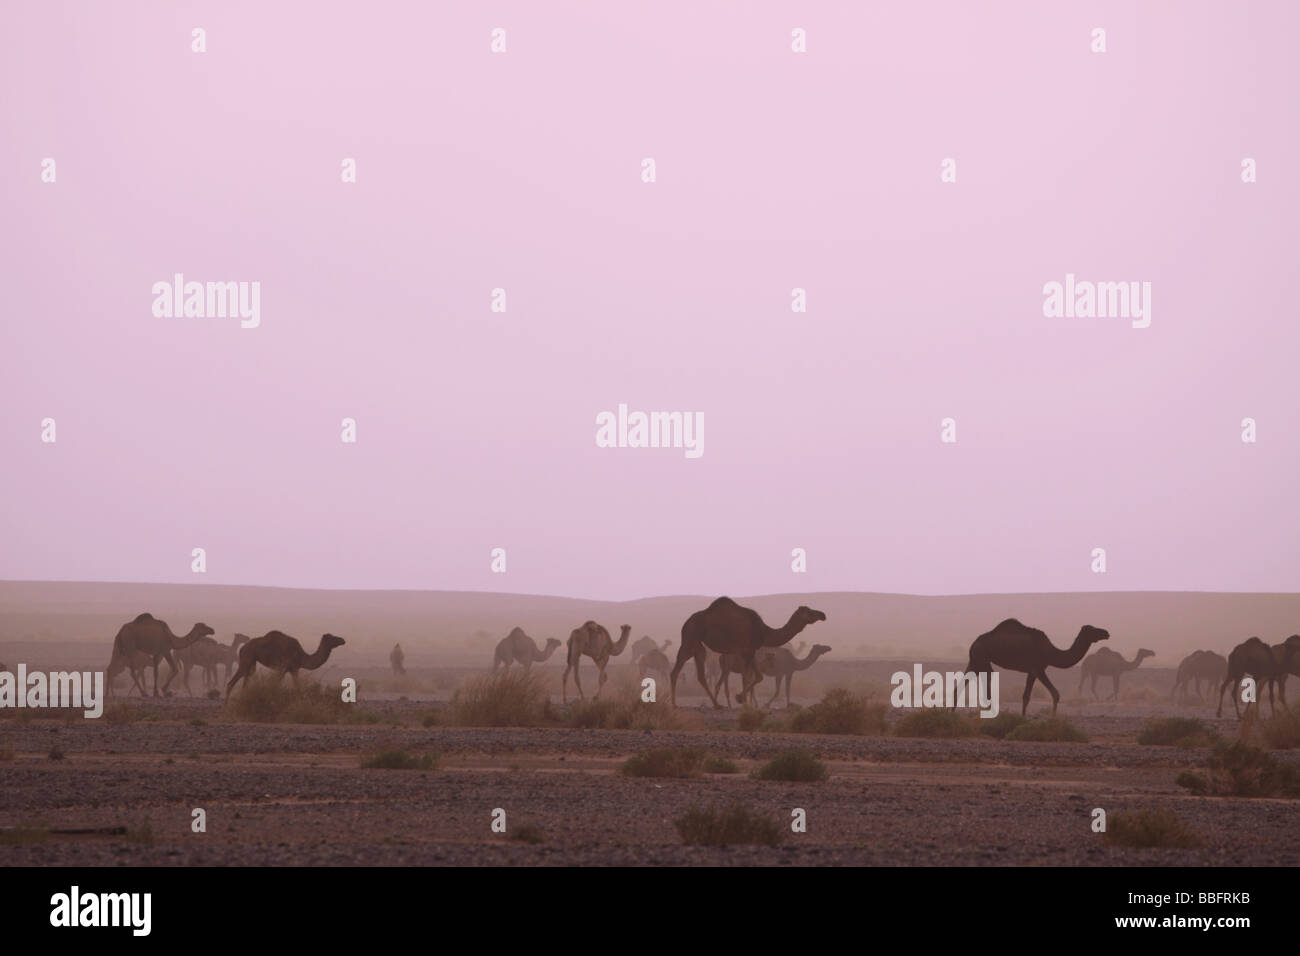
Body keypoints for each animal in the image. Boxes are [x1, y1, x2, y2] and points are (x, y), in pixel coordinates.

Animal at [670, 598, 821, 712]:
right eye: (809, 612)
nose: (822, 615)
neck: (764, 631)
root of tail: (686, 623)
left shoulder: (750, 651)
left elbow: (757, 677)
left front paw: (742, 699)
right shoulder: (747, 650)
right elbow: (746, 678)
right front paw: (743, 701)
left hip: (697, 644)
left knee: (696, 673)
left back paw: (716, 705)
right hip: (690, 637)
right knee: (679, 670)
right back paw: (674, 705)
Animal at [967, 621, 1107, 717]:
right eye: (1092, 630)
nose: (1106, 633)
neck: (1049, 652)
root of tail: (973, 643)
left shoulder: (1034, 670)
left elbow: (1043, 694)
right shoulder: (1037, 669)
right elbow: (1046, 694)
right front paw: (1027, 717)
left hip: (975, 660)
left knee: (967, 678)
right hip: (981, 656)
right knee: (987, 677)